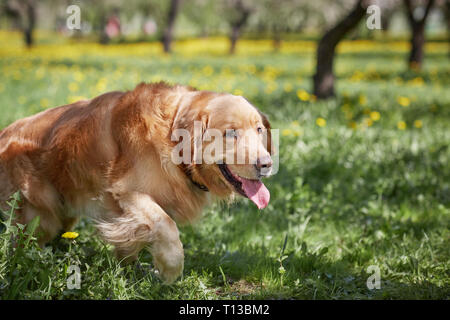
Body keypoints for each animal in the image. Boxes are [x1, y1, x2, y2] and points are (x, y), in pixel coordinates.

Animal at [0, 82, 272, 282]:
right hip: (40, 216)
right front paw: (169, 270)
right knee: (23, 244)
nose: (267, 164)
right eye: (231, 133)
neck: (170, 136)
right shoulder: (128, 192)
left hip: (63, 212)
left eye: (259, 129)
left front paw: (129, 270)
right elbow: (167, 226)